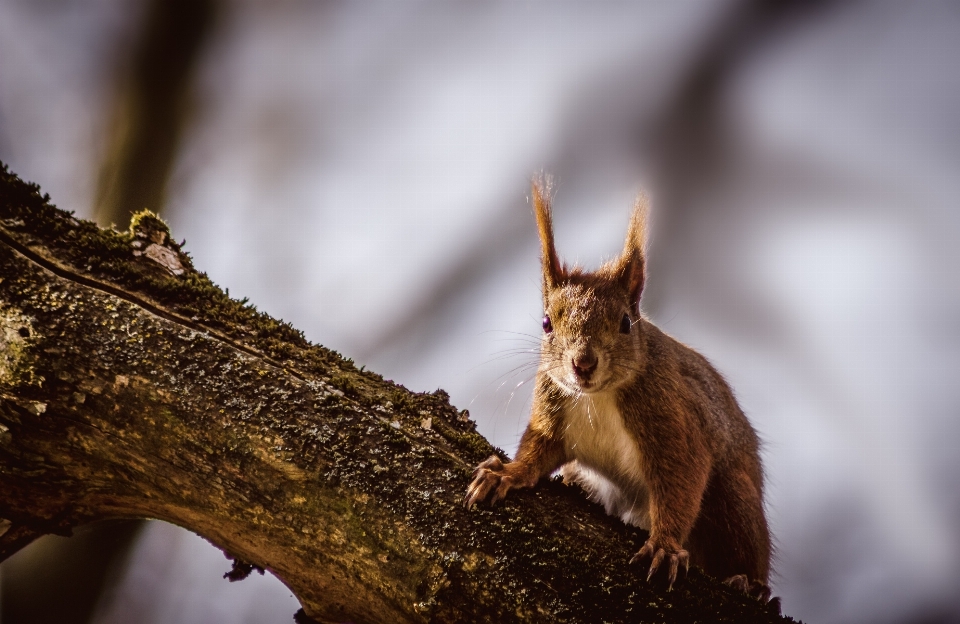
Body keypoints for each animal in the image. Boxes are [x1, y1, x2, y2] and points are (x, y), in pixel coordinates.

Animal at [464, 178, 772, 604]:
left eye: (626, 323)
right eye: (546, 323)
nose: (583, 363)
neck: (597, 397)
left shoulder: (671, 419)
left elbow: (681, 480)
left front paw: (665, 545)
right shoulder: (551, 411)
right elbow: (537, 449)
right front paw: (506, 473)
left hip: (733, 499)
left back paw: (748, 583)